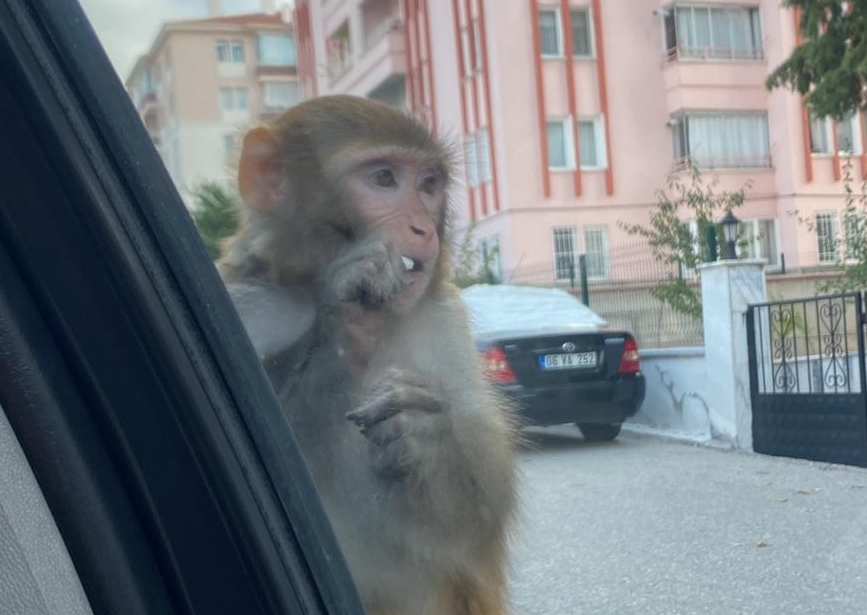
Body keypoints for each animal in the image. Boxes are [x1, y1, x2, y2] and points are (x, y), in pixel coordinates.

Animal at [219, 96, 516, 615]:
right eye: (383, 178)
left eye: (429, 184)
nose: (422, 228)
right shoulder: (241, 300)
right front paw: (345, 307)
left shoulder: (442, 318)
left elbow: (474, 528)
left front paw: (428, 439)